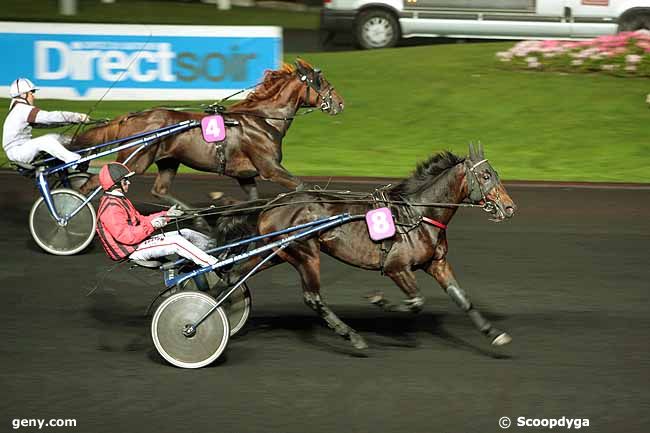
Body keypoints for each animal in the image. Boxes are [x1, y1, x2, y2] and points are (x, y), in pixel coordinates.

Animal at [71, 58, 344, 204]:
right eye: (321, 82)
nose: (340, 103)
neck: (264, 119)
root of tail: (131, 116)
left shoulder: (245, 175)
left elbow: (253, 199)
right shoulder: (270, 168)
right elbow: (301, 185)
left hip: (169, 161)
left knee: (159, 190)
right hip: (135, 160)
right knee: (96, 182)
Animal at [215, 145, 512, 352]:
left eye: (496, 173)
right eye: (485, 175)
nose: (509, 207)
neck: (417, 214)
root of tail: (272, 203)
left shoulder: (436, 263)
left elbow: (462, 298)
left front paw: (495, 333)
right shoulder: (396, 267)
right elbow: (416, 301)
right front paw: (379, 301)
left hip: (277, 251)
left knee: (234, 274)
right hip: (305, 252)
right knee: (313, 297)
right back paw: (352, 336)